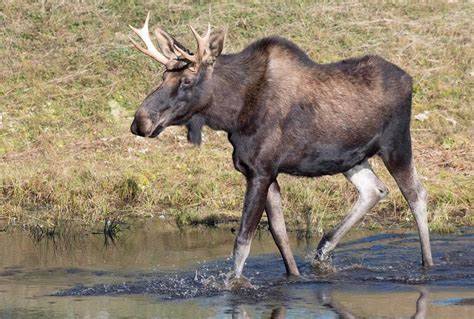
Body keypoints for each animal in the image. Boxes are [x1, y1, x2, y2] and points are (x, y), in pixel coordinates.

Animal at [128, 13, 436, 280]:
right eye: (162, 76)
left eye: (187, 81)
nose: (140, 122)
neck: (232, 115)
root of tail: (410, 79)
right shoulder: (264, 173)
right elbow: (279, 235)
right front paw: (294, 275)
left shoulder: (261, 171)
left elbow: (243, 241)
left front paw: (231, 284)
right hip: (352, 157)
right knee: (375, 189)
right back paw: (323, 250)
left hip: (396, 144)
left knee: (416, 194)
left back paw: (427, 263)